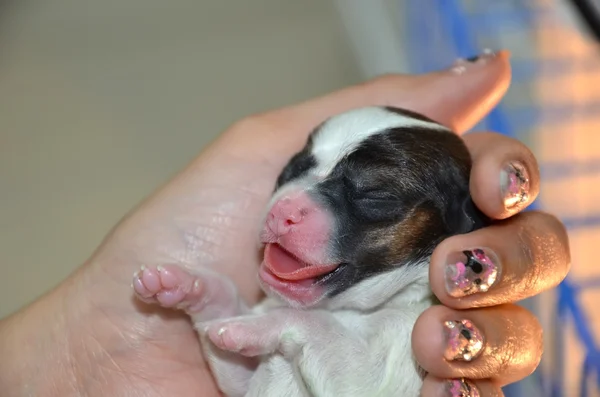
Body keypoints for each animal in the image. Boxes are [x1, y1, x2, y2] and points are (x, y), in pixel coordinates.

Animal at [130, 105, 488, 396]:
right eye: (291, 168)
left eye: (375, 195)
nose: (281, 211)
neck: (352, 311)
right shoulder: (244, 380)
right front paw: (187, 286)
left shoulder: (391, 362)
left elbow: (314, 325)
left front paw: (247, 326)